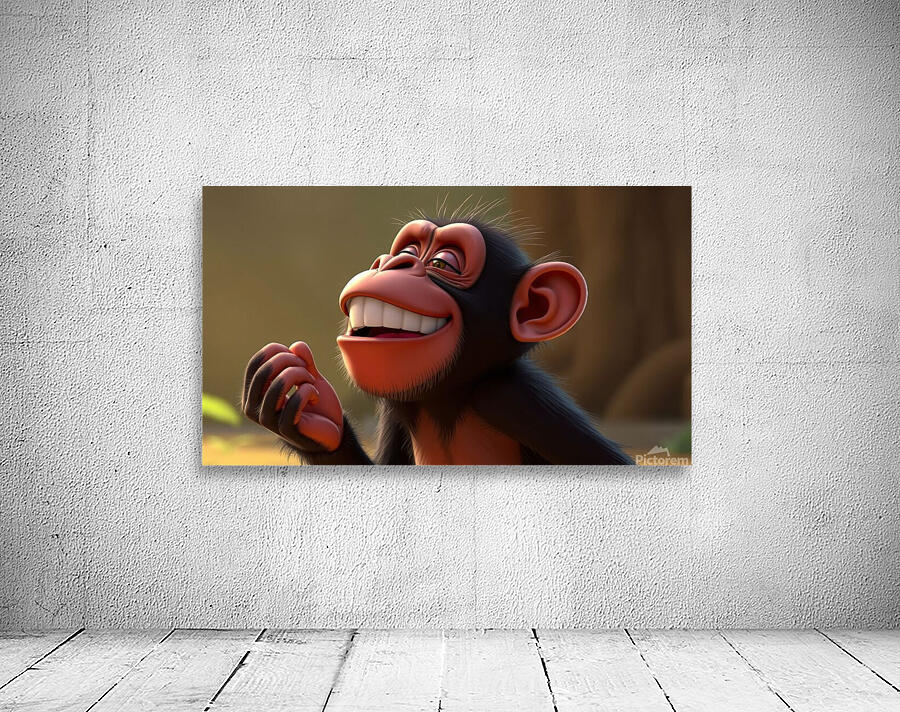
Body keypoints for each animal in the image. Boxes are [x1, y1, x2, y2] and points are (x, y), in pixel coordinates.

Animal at [241, 217, 634, 465]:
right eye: (405, 253)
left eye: (443, 264)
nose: (390, 264)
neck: (445, 396)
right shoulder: (395, 408)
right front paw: (317, 416)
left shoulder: (517, 398)